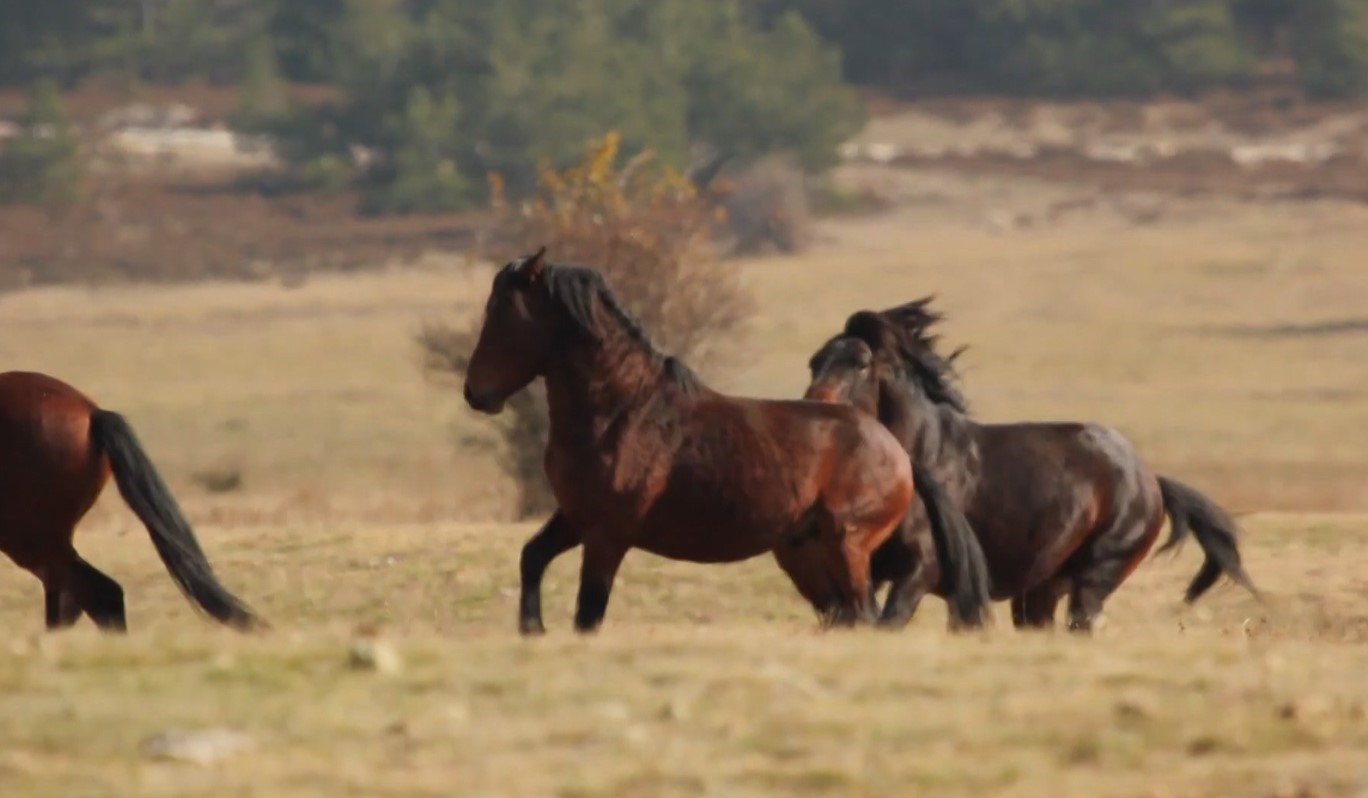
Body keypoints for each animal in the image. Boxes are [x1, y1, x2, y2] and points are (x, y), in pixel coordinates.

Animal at [465, 246, 990, 635]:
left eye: (502, 310)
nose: (475, 393)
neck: (621, 412)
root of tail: (897, 452)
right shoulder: (576, 517)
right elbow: (532, 558)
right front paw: (532, 629)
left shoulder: (608, 535)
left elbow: (588, 615)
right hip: (813, 557)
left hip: (849, 546)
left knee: (862, 615)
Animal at [798, 297, 1258, 635]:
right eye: (815, 361)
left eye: (860, 363)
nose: (812, 408)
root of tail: (1152, 481)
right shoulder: (868, 570)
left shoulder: (919, 572)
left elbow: (889, 622)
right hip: (1040, 590)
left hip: (1094, 575)